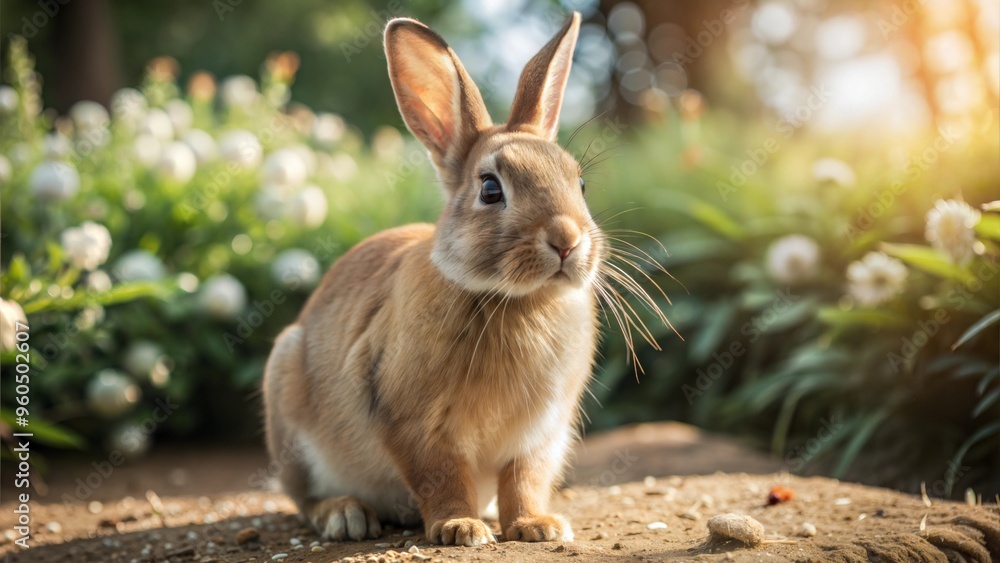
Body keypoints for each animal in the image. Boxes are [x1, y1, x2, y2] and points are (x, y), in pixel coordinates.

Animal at [263, 11, 604, 547]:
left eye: (581, 183)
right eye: (490, 189)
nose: (567, 240)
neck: (513, 299)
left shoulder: (541, 434)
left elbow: (525, 480)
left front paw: (538, 526)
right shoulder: (414, 424)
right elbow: (441, 475)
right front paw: (460, 528)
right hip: (287, 407)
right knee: (304, 499)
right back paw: (346, 516)